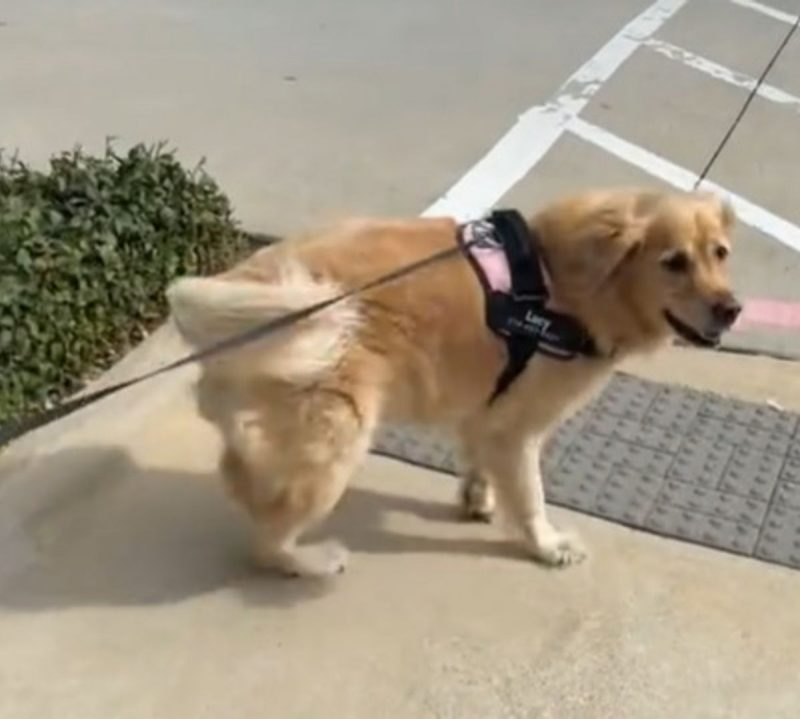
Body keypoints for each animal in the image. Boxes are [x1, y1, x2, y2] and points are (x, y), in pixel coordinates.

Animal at [166, 187, 740, 580]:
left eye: (720, 254)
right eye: (673, 262)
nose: (732, 310)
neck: (566, 285)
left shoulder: (488, 406)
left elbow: (479, 459)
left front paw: (477, 497)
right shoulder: (520, 428)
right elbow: (530, 497)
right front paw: (547, 545)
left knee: (241, 478)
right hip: (336, 439)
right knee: (266, 541)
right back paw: (311, 560)